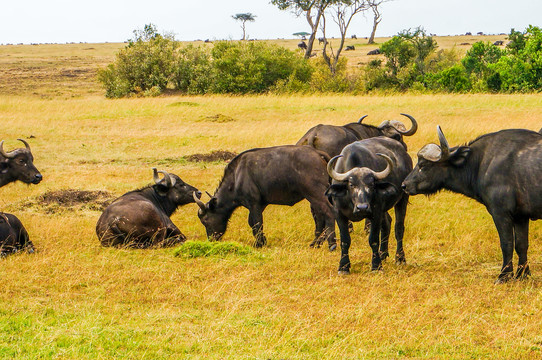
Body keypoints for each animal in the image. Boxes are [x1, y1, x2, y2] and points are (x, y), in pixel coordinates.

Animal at [196, 145, 338, 249]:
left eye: (205, 220)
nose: (211, 239)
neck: (236, 177)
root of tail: (317, 153)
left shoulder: (253, 204)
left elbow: (257, 223)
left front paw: (259, 244)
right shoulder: (261, 204)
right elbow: (252, 222)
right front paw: (262, 241)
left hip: (316, 194)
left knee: (328, 212)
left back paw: (331, 244)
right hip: (313, 197)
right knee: (319, 217)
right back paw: (316, 243)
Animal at [326, 137, 414, 272]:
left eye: (372, 184)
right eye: (351, 184)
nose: (362, 208)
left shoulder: (375, 212)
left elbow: (373, 239)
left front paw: (376, 266)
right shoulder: (339, 213)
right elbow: (345, 240)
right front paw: (343, 267)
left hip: (403, 198)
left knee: (399, 228)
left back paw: (400, 259)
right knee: (387, 223)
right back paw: (383, 254)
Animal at [402, 128, 542, 282]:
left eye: (423, 165)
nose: (404, 185)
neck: (480, 163)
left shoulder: (501, 214)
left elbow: (507, 244)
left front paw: (503, 276)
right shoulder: (520, 217)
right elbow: (521, 245)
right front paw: (523, 275)